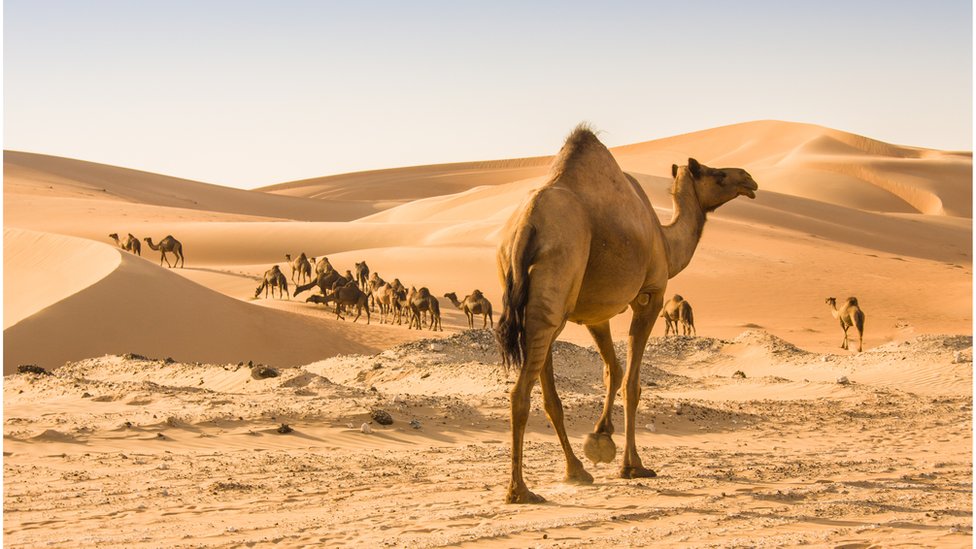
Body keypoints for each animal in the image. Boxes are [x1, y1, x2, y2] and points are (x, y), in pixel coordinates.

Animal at [492, 126, 760, 504]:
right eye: (717, 173)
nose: (749, 179)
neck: (666, 240)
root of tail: (525, 227)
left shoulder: (595, 313)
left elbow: (613, 371)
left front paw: (600, 438)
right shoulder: (651, 295)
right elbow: (632, 383)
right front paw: (632, 465)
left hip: (539, 302)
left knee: (547, 394)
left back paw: (575, 471)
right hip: (556, 282)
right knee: (520, 393)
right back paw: (520, 491)